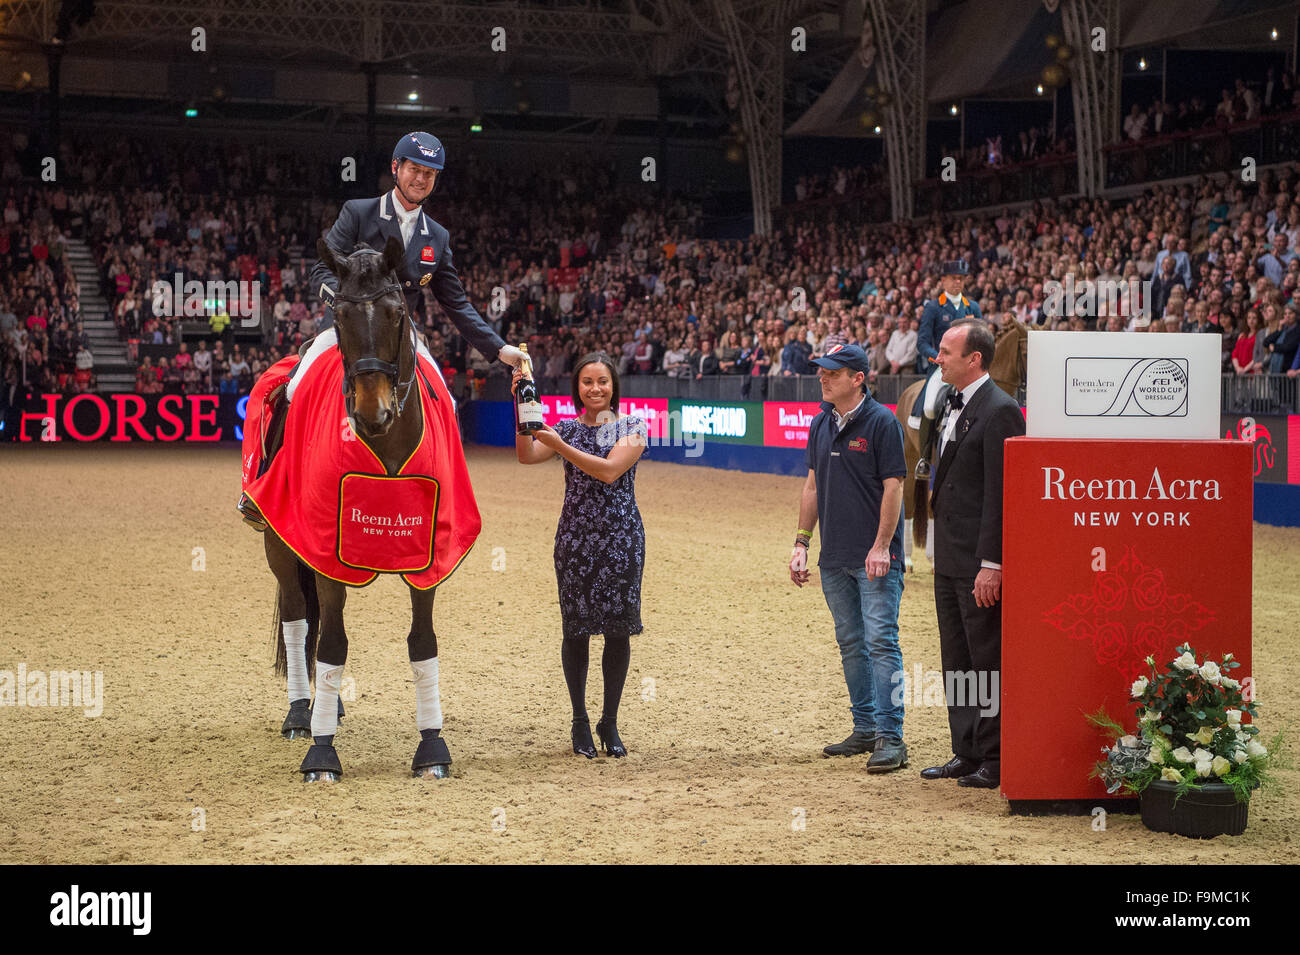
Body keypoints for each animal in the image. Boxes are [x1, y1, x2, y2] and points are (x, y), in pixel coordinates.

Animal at [262, 237, 452, 784]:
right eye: (340, 314)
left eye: (397, 313)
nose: (373, 412)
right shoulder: (328, 554)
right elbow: (331, 644)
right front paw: (321, 754)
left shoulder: (428, 558)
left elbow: (422, 641)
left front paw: (432, 746)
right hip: (279, 545)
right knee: (300, 620)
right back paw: (301, 713)